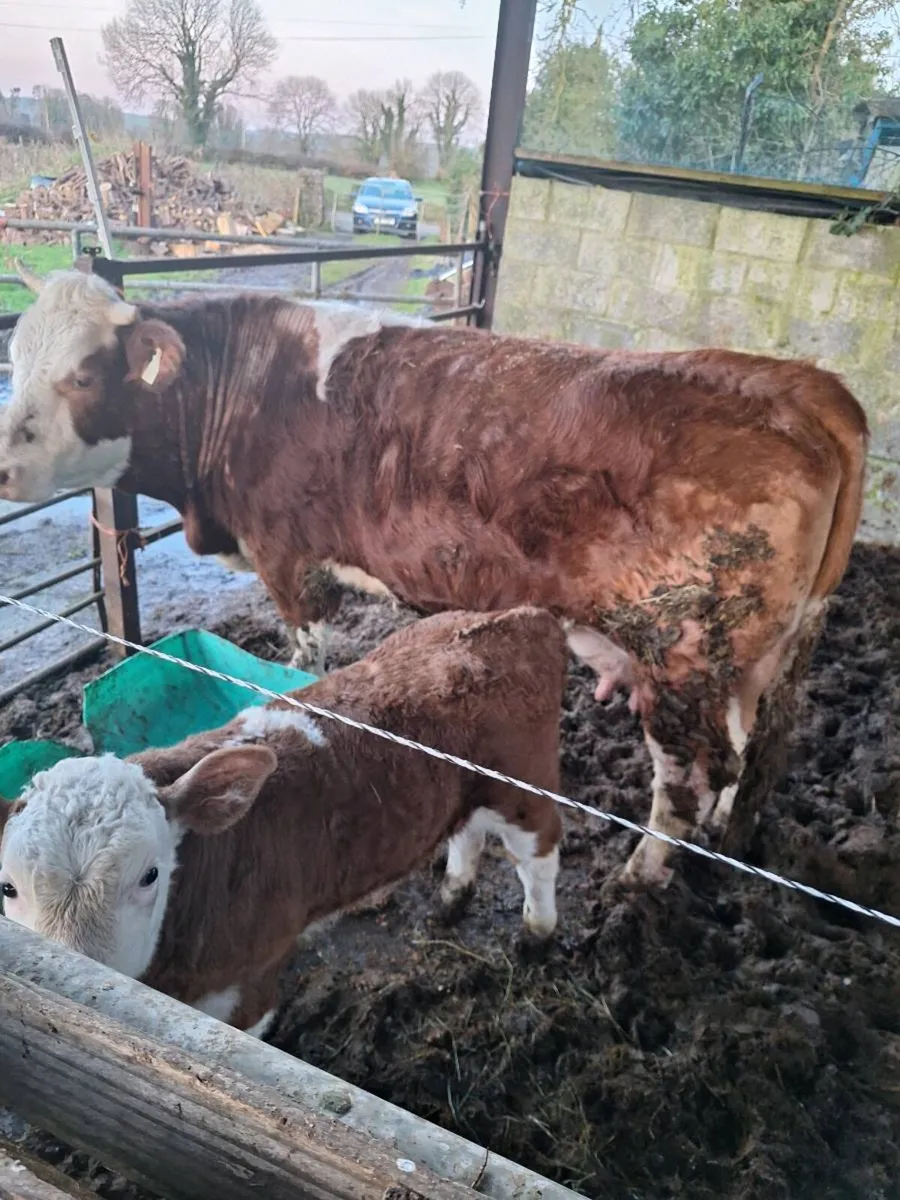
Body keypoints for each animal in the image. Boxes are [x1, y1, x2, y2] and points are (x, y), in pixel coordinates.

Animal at [0, 268, 869, 884]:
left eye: (83, 375)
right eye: (16, 361)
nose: (4, 465)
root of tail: (805, 386)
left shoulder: (289, 564)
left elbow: (303, 666)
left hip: (680, 656)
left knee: (689, 776)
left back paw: (641, 878)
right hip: (753, 662)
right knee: (744, 756)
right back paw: (719, 842)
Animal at [0, 606, 567, 1036]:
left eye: (149, 875)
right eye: (7, 887)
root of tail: (518, 616)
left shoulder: (248, 988)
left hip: (522, 784)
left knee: (538, 856)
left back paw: (537, 933)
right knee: (466, 829)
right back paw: (452, 897)